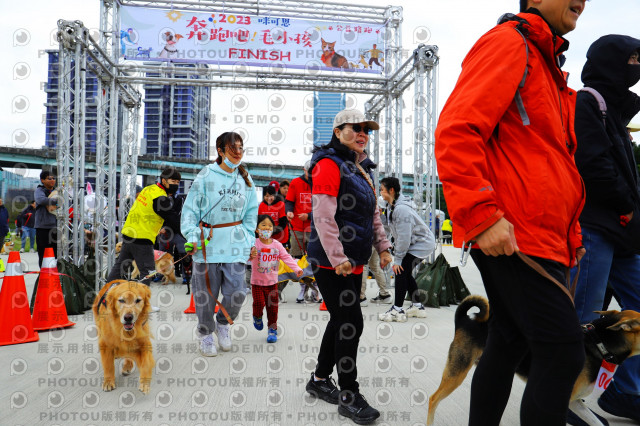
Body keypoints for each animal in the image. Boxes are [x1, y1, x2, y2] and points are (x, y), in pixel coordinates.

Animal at [424, 296, 640, 426]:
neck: (599, 343)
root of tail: (464, 320)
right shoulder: (562, 401)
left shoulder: (576, 402)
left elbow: (596, 422)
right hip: (457, 371)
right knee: (433, 399)